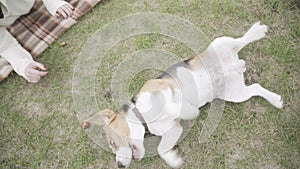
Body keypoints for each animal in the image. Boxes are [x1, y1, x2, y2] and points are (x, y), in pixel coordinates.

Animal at [81, 21, 282, 168]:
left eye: (112, 142)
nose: (120, 165)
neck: (143, 117)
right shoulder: (173, 129)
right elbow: (162, 149)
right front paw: (173, 159)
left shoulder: (160, 87)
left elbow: (170, 103)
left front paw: (186, 109)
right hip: (236, 93)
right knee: (255, 87)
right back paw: (273, 98)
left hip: (220, 43)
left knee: (241, 41)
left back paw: (254, 35)